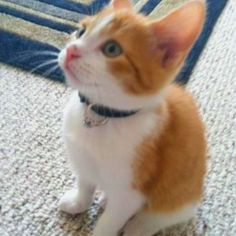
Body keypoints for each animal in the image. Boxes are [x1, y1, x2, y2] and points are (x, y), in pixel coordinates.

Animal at [57, 0, 206, 235]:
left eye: (112, 49)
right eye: (81, 31)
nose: (71, 51)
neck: (103, 114)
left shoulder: (130, 193)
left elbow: (109, 222)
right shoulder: (84, 160)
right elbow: (85, 184)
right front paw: (78, 203)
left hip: (181, 194)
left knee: (162, 214)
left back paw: (138, 226)